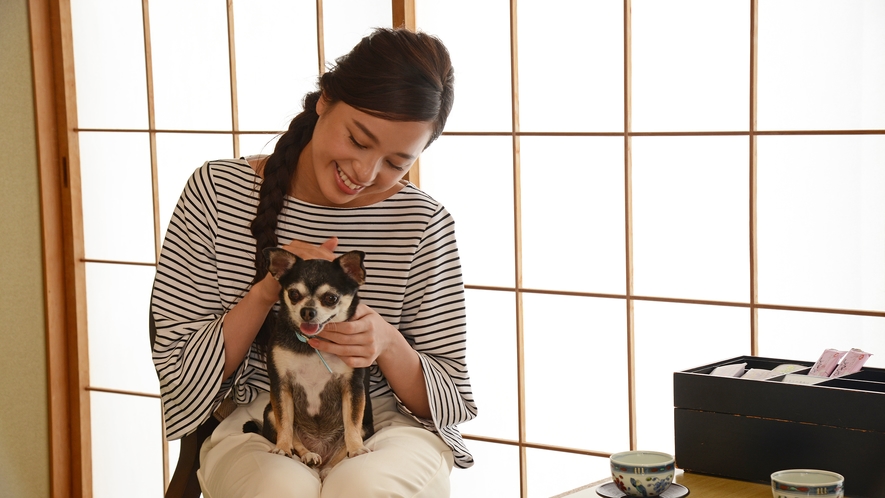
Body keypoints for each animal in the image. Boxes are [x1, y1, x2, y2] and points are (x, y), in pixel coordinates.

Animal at [243, 247, 374, 476]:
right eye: (294, 294)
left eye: (331, 298)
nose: (307, 311)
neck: (313, 344)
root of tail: (320, 448)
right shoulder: (281, 385)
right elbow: (285, 422)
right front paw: (283, 447)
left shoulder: (353, 387)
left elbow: (351, 424)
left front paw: (357, 448)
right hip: (269, 413)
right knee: (295, 437)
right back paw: (308, 455)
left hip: (366, 426)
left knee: (342, 448)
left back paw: (328, 468)